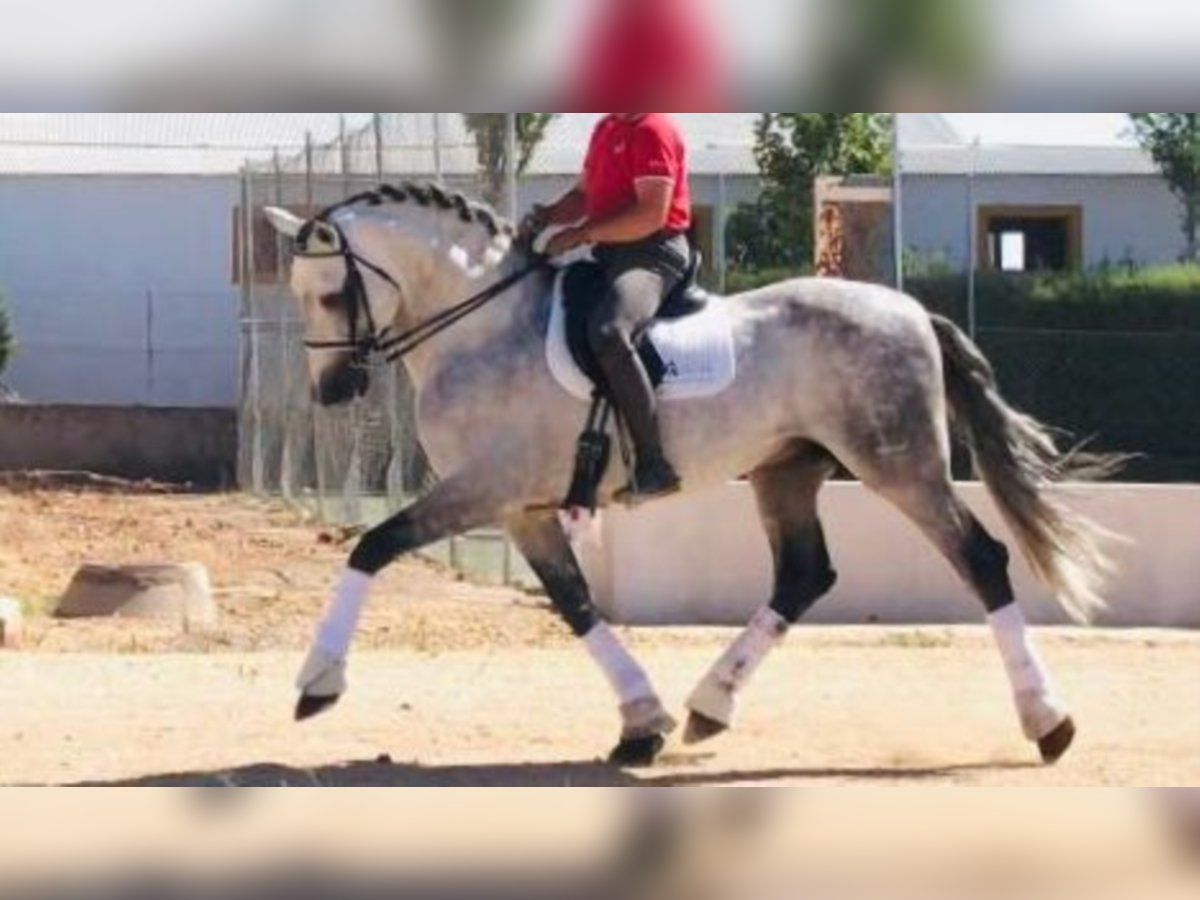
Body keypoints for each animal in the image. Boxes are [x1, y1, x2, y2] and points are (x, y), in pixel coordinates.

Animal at [267, 183, 1118, 768]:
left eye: (334, 292)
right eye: (297, 295)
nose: (332, 390)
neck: (483, 327)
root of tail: (910, 311)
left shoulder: (487, 489)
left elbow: (371, 547)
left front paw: (317, 684)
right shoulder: (524, 510)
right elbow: (576, 605)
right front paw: (642, 722)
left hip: (899, 464)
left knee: (979, 558)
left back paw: (1049, 722)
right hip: (785, 471)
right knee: (803, 575)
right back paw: (710, 706)